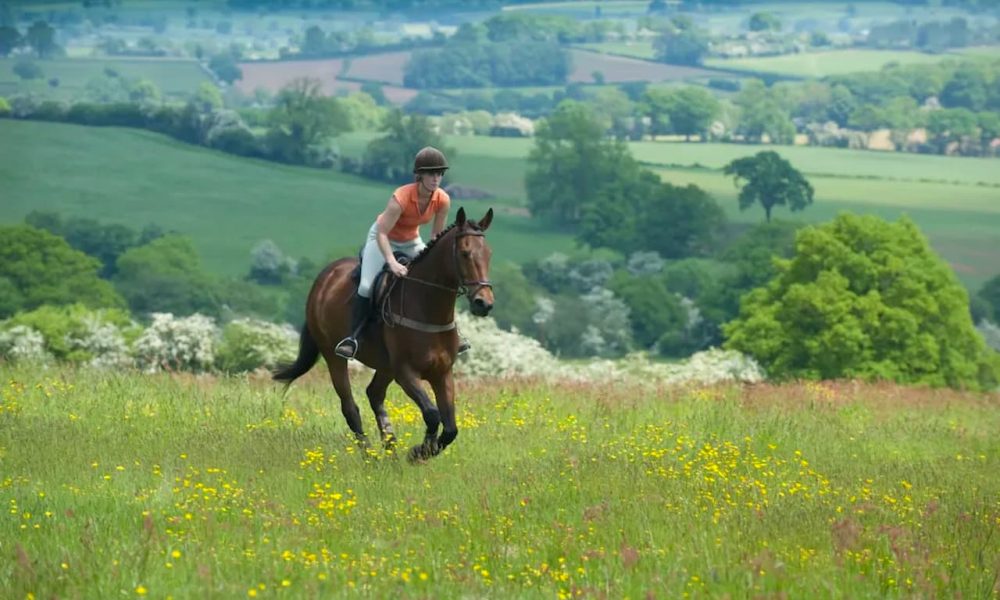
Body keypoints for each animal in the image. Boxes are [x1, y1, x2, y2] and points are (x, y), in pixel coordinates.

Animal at [272, 209, 494, 462]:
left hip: (385, 366)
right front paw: (418, 452)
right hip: (334, 356)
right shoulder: (405, 373)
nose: (484, 303)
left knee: (374, 394)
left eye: (489, 254)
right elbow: (432, 414)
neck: (427, 306)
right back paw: (370, 455)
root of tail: (324, 277)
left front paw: (424, 451)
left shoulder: (442, 373)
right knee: (350, 406)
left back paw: (390, 446)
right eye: (465, 253)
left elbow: (450, 428)